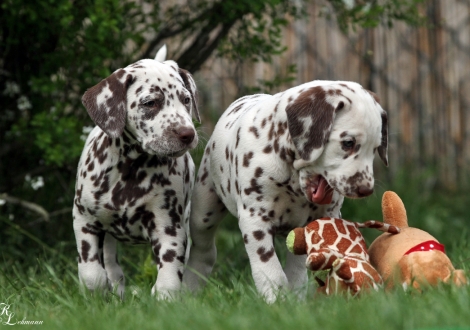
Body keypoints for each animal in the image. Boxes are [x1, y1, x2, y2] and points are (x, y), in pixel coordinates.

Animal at [73, 45, 200, 300]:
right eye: (150, 103)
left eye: (186, 100)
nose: (187, 134)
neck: (131, 169)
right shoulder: (83, 219)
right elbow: (91, 272)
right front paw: (96, 292)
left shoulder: (169, 229)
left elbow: (169, 276)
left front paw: (164, 297)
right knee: (111, 263)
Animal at [184, 80, 390, 302]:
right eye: (348, 143)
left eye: (375, 148)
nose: (365, 189)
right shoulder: (254, 220)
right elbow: (269, 268)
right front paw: (276, 299)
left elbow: (297, 269)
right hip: (204, 211)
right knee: (204, 251)